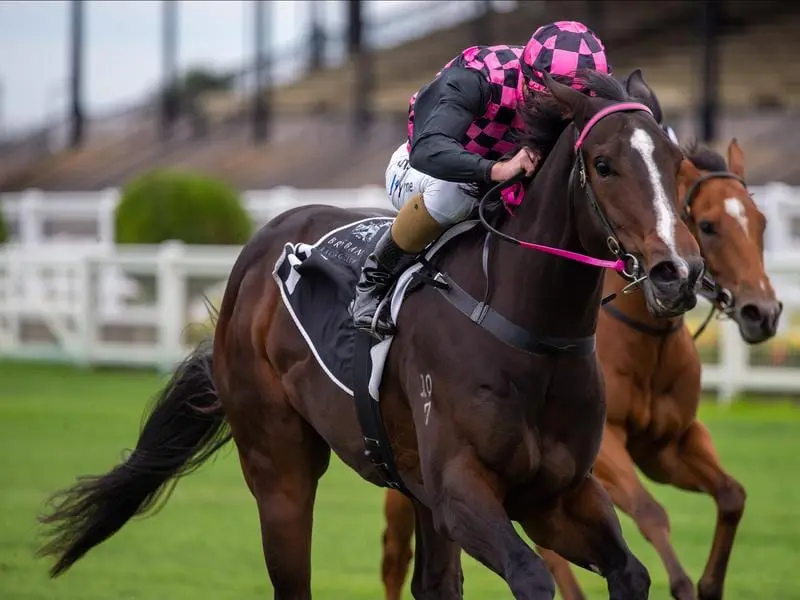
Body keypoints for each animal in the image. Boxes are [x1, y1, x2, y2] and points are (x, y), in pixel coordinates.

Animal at [36, 71, 708, 600]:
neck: (522, 330)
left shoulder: (555, 493)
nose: (678, 272)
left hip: (414, 489)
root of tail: (259, 246)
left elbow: (630, 573)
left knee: (434, 583)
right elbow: (532, 577)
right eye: (604, 165)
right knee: (292, 574)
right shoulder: (465, 490)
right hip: (279, 464)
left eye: (678, 166)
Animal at [376, 137, 780, 600]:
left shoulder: (667, 446)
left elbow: (732, 495)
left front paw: (709, 584)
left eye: (761, 223)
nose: (763, 312)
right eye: (710, 225)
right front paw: (680, 583)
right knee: (397, 553)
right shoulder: (605, 451)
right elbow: (649, 510)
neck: (645, 343)